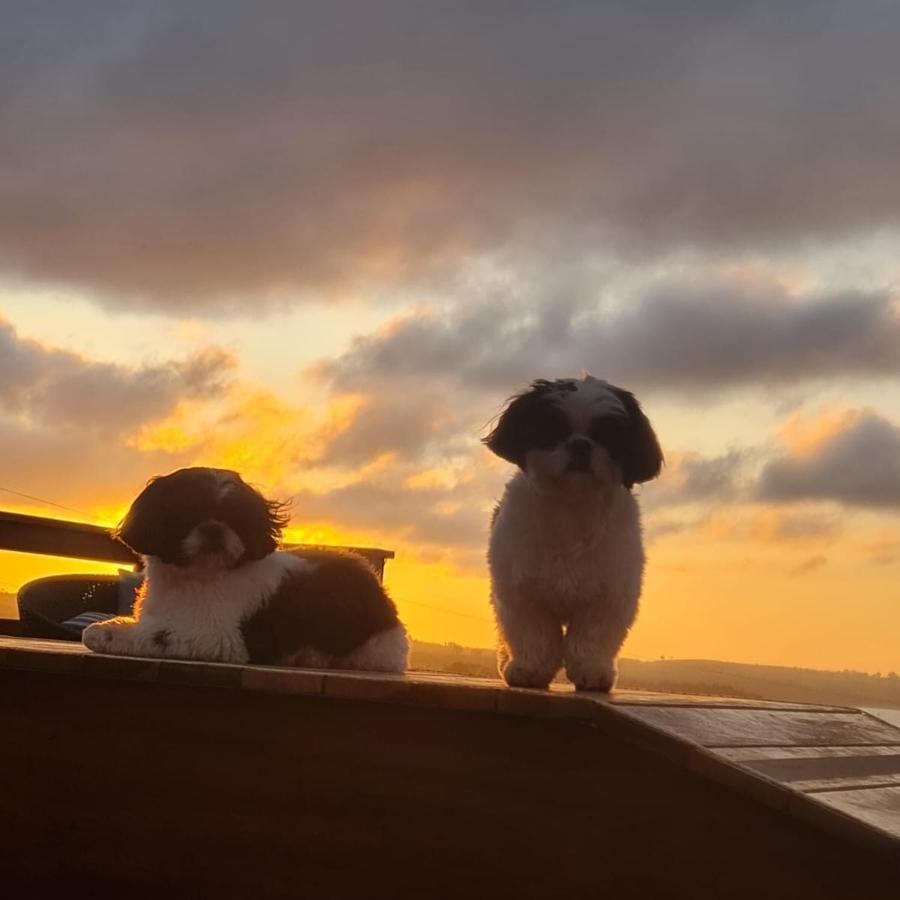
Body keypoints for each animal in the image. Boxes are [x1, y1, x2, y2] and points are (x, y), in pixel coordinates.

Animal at [81, 468, 412, 672]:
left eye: (236, 516)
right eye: (187, 511)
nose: (214, 528)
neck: (200, 577)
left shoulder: (217, 635)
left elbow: (156, 635)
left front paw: (105, 633)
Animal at [486, 376, 660, 692]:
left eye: (609, 435)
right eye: (553, 429)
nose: (581, 444)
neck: (572, 505)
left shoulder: (610, 592)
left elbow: (592, 637)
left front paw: (592, 671)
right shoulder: (521, 590)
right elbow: (534, 633)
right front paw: (531, 668)